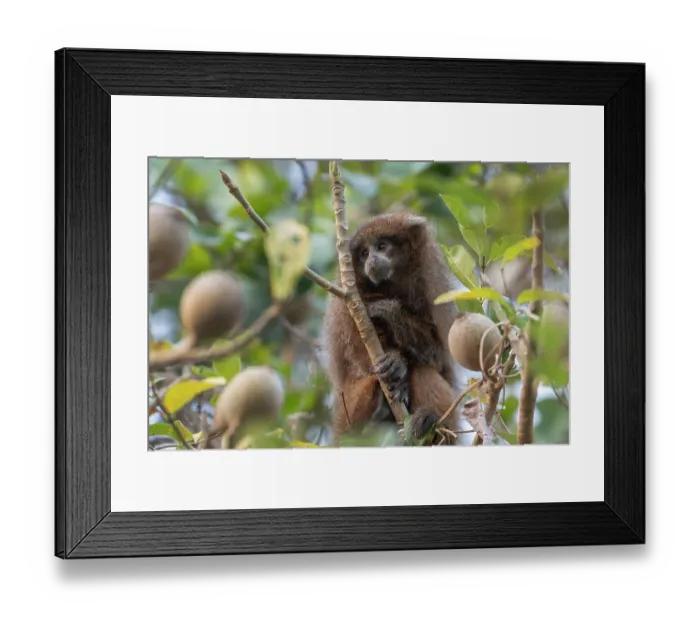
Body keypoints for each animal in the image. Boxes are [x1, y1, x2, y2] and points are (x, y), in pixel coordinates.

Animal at [322, 212, 460, 445]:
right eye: (364, 253)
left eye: (382, 246)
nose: (371, 260)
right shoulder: (349, 298)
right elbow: (358, 355)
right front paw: (396, 362)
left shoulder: (432, 281)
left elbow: (439, 355)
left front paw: (389, 313)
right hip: (348, 407)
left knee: (423, 369)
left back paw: (430, 426)